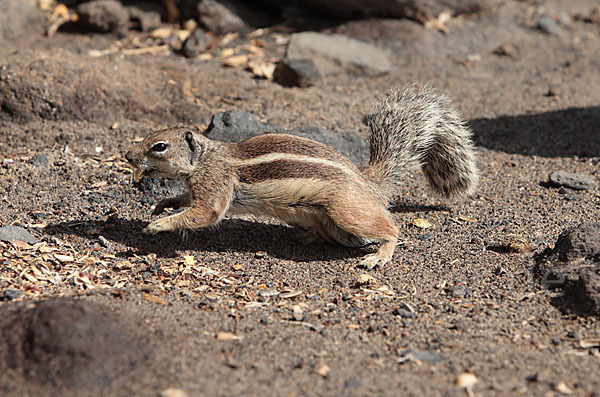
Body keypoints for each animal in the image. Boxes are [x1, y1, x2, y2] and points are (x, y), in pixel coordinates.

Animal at [125, 84, 478, 268]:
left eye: (159, 146)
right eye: (152, 136)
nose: (128, 156)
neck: (205, 157)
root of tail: (368, 183)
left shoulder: (215, 184)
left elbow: (205, 213)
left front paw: (159, 225)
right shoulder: (199, 186)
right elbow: (187, 200)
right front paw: (164, 205)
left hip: (347, 209)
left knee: (391, 228)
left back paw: (380, 255)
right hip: (331, 221)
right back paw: (310, 235)